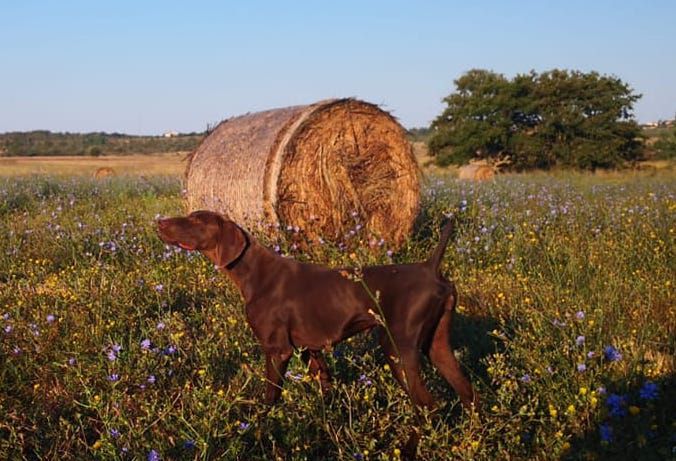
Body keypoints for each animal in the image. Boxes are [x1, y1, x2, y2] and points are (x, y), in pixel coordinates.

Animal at [156, 210, 478, 408]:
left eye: (197, 220)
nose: (159, 223)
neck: (255, 272)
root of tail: (430, 268)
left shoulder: (278, 350)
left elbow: (270, 398)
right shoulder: (310, 351)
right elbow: (325, 388)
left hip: (397, 349)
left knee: (427, 405)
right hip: (437, 346)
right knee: (467, 392)